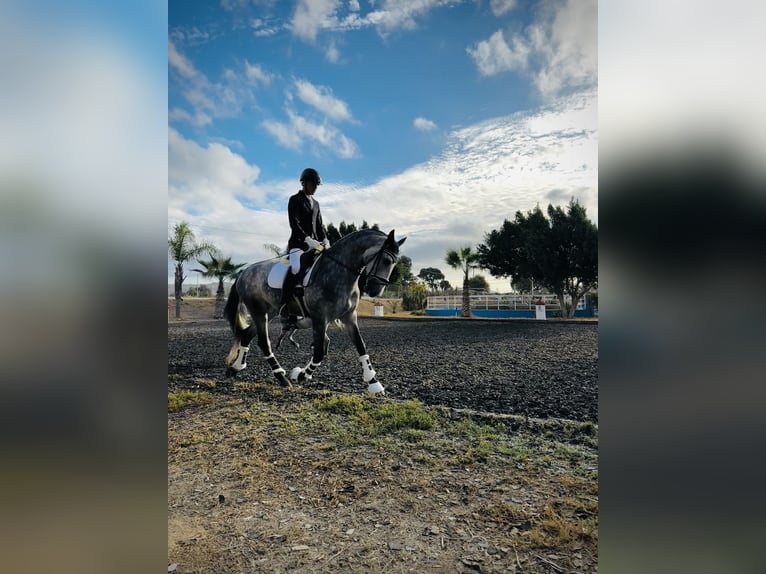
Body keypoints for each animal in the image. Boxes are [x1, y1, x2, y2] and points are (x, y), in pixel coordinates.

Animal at [223, 229, 406, 393]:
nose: (375, 290)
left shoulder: (349, 317)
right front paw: (300, 375)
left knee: (247, 335)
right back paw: (281, 377)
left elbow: (360, 346)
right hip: (258, 311)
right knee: (263, 342)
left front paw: (374, 383)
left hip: (270, 311)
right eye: (386, 260)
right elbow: (318, 352)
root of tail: (244, 272)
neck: (339, 273)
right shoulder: (320, 317)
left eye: (394, 263)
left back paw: (235, 368)